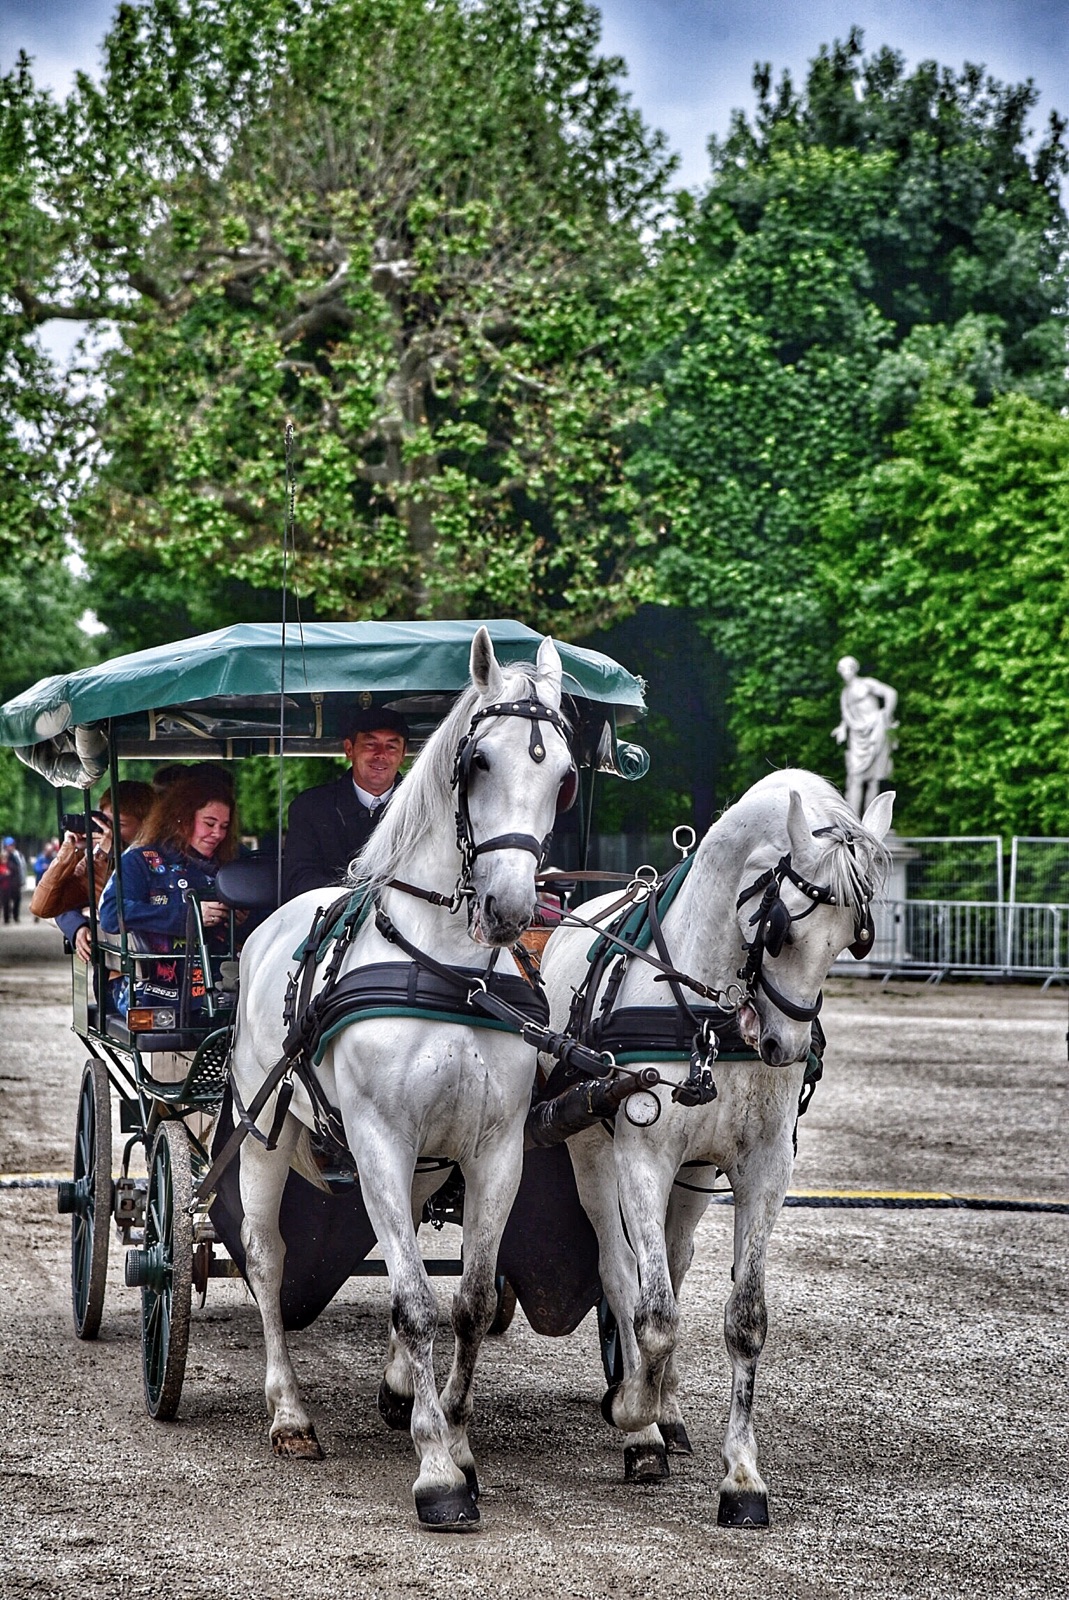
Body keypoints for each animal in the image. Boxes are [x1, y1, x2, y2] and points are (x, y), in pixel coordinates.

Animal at [227, 620, 576, 1523]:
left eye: (562, 777)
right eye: (477, 761)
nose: (511, 910)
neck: (450, 971)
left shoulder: (493, 1150)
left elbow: (470, 1302)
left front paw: (453, 1435)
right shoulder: (379, 1138)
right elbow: (416, 1303)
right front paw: (438, 1473)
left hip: (421, 1163)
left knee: (406, 1243)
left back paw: (395, 1391)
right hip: (263, 1131)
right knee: (266, 1255)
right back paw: (288, 1412)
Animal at [534, 771, 896, 1523]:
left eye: (851, 938)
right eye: (782, 931)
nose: (783, 1047)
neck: (710, 1013)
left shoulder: (763, 1168)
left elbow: (744, 1317)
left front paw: (742, 1477)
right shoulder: (641, 1157)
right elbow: (652, 1310)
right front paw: (631, 1412)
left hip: (695, 1179)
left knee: (670, 1261)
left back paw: (667, 1412)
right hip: (591, 1152)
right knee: (622, 1273)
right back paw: (643, 1423)